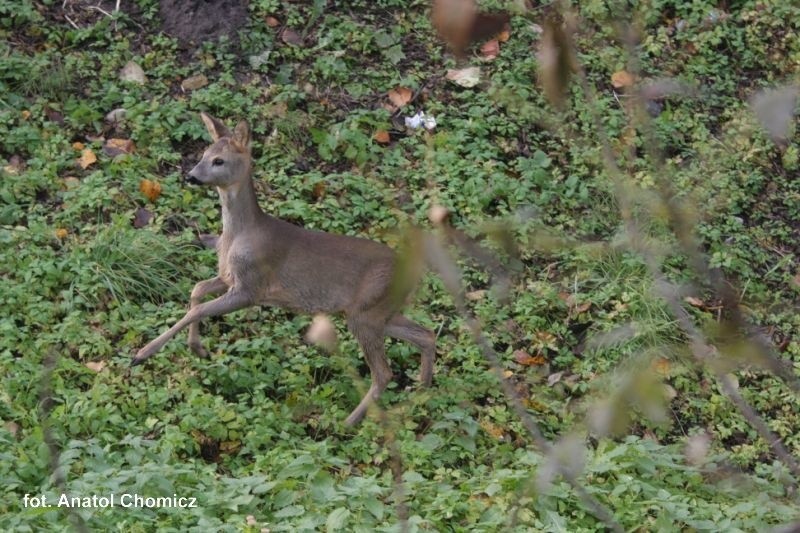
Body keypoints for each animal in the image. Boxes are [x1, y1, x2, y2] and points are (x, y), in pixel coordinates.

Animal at [131, 112, 434, 424]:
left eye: (219, 161)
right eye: (204, 154)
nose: (191, 176)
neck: (238, 235)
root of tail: (415, 274)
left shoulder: (251, 287)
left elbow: (198, 308)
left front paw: (142, 353)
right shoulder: (230, 277)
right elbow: (197, 289)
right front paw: (198, 348)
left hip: (367, 312)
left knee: (384, 371)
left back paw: (350, 422)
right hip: (380, 311)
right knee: (426, 335)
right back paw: (418, 397)